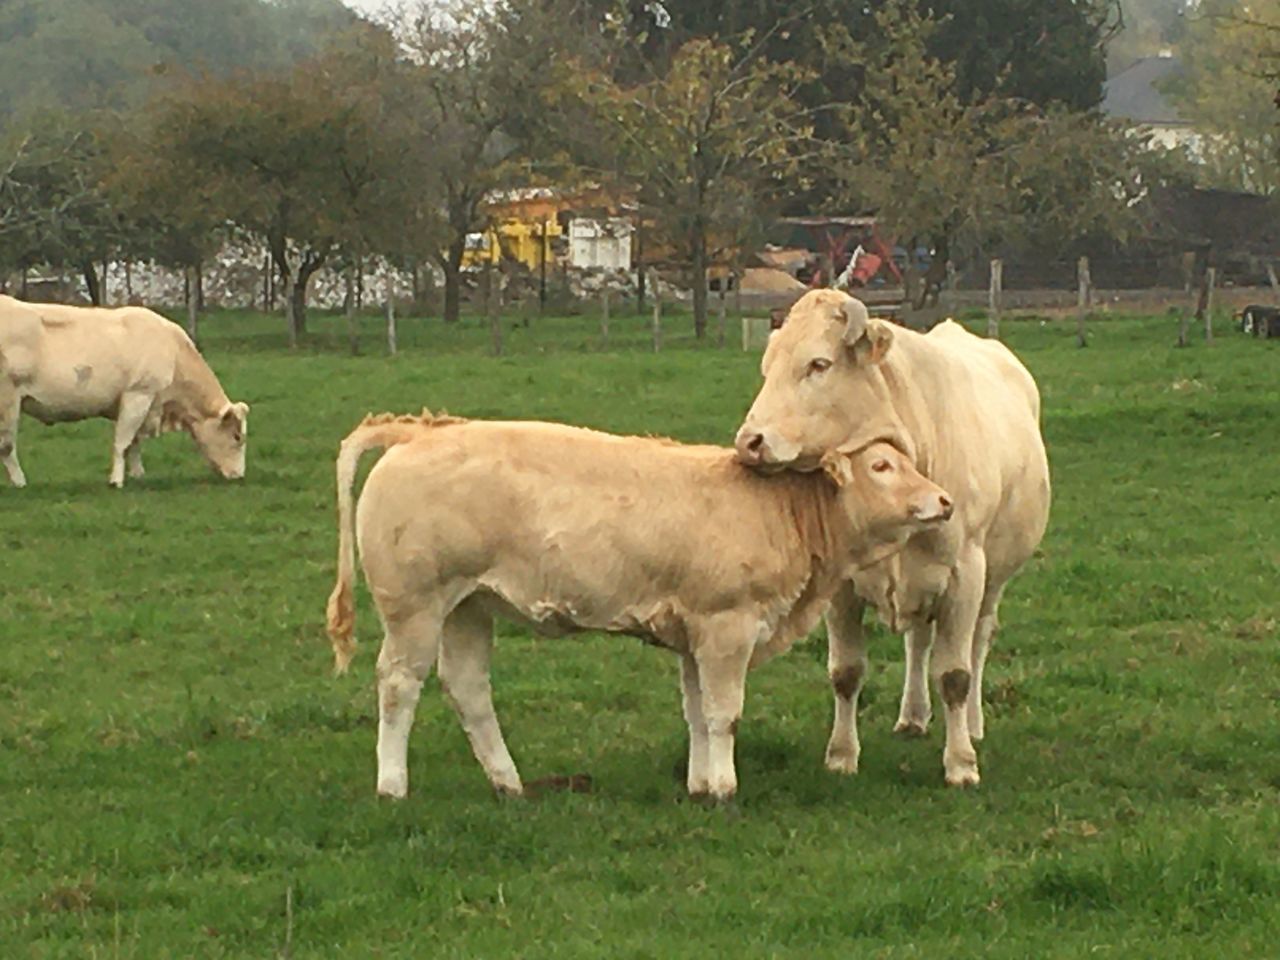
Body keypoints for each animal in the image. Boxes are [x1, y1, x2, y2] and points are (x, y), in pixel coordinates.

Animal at [0, 295, 248, 488]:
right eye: (237, 436)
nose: (239, 476)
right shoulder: (138, 395)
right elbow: (123, 441)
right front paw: (116, 480)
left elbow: (134, 441)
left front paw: (137, 475)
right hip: (8, 402)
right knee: (7, 446)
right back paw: (20, 482)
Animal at [325, 412, 957, 803]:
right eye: (881, 467)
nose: (944, 500)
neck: (779, 510)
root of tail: (418, 433)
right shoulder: (726, 627)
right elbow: (724, 714)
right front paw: (725, 788)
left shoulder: (695, 634)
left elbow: (697, 712)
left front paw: (700, 785)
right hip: (417, 607)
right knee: (398, 685)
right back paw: (392, 785)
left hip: (469, 606)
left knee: (468, 689)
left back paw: (509, 784)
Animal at [737, 291, 1044, 788]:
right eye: (768, 368)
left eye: (818, 364)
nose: (749, 442)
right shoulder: (842, 586)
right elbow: (846, 672)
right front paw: (842, 755)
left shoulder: (965, 574)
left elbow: (955, 674)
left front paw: (960, 763)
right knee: (918, 641)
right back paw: (913, 715)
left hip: (994, 577)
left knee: (979, 640)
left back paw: (973, 724)